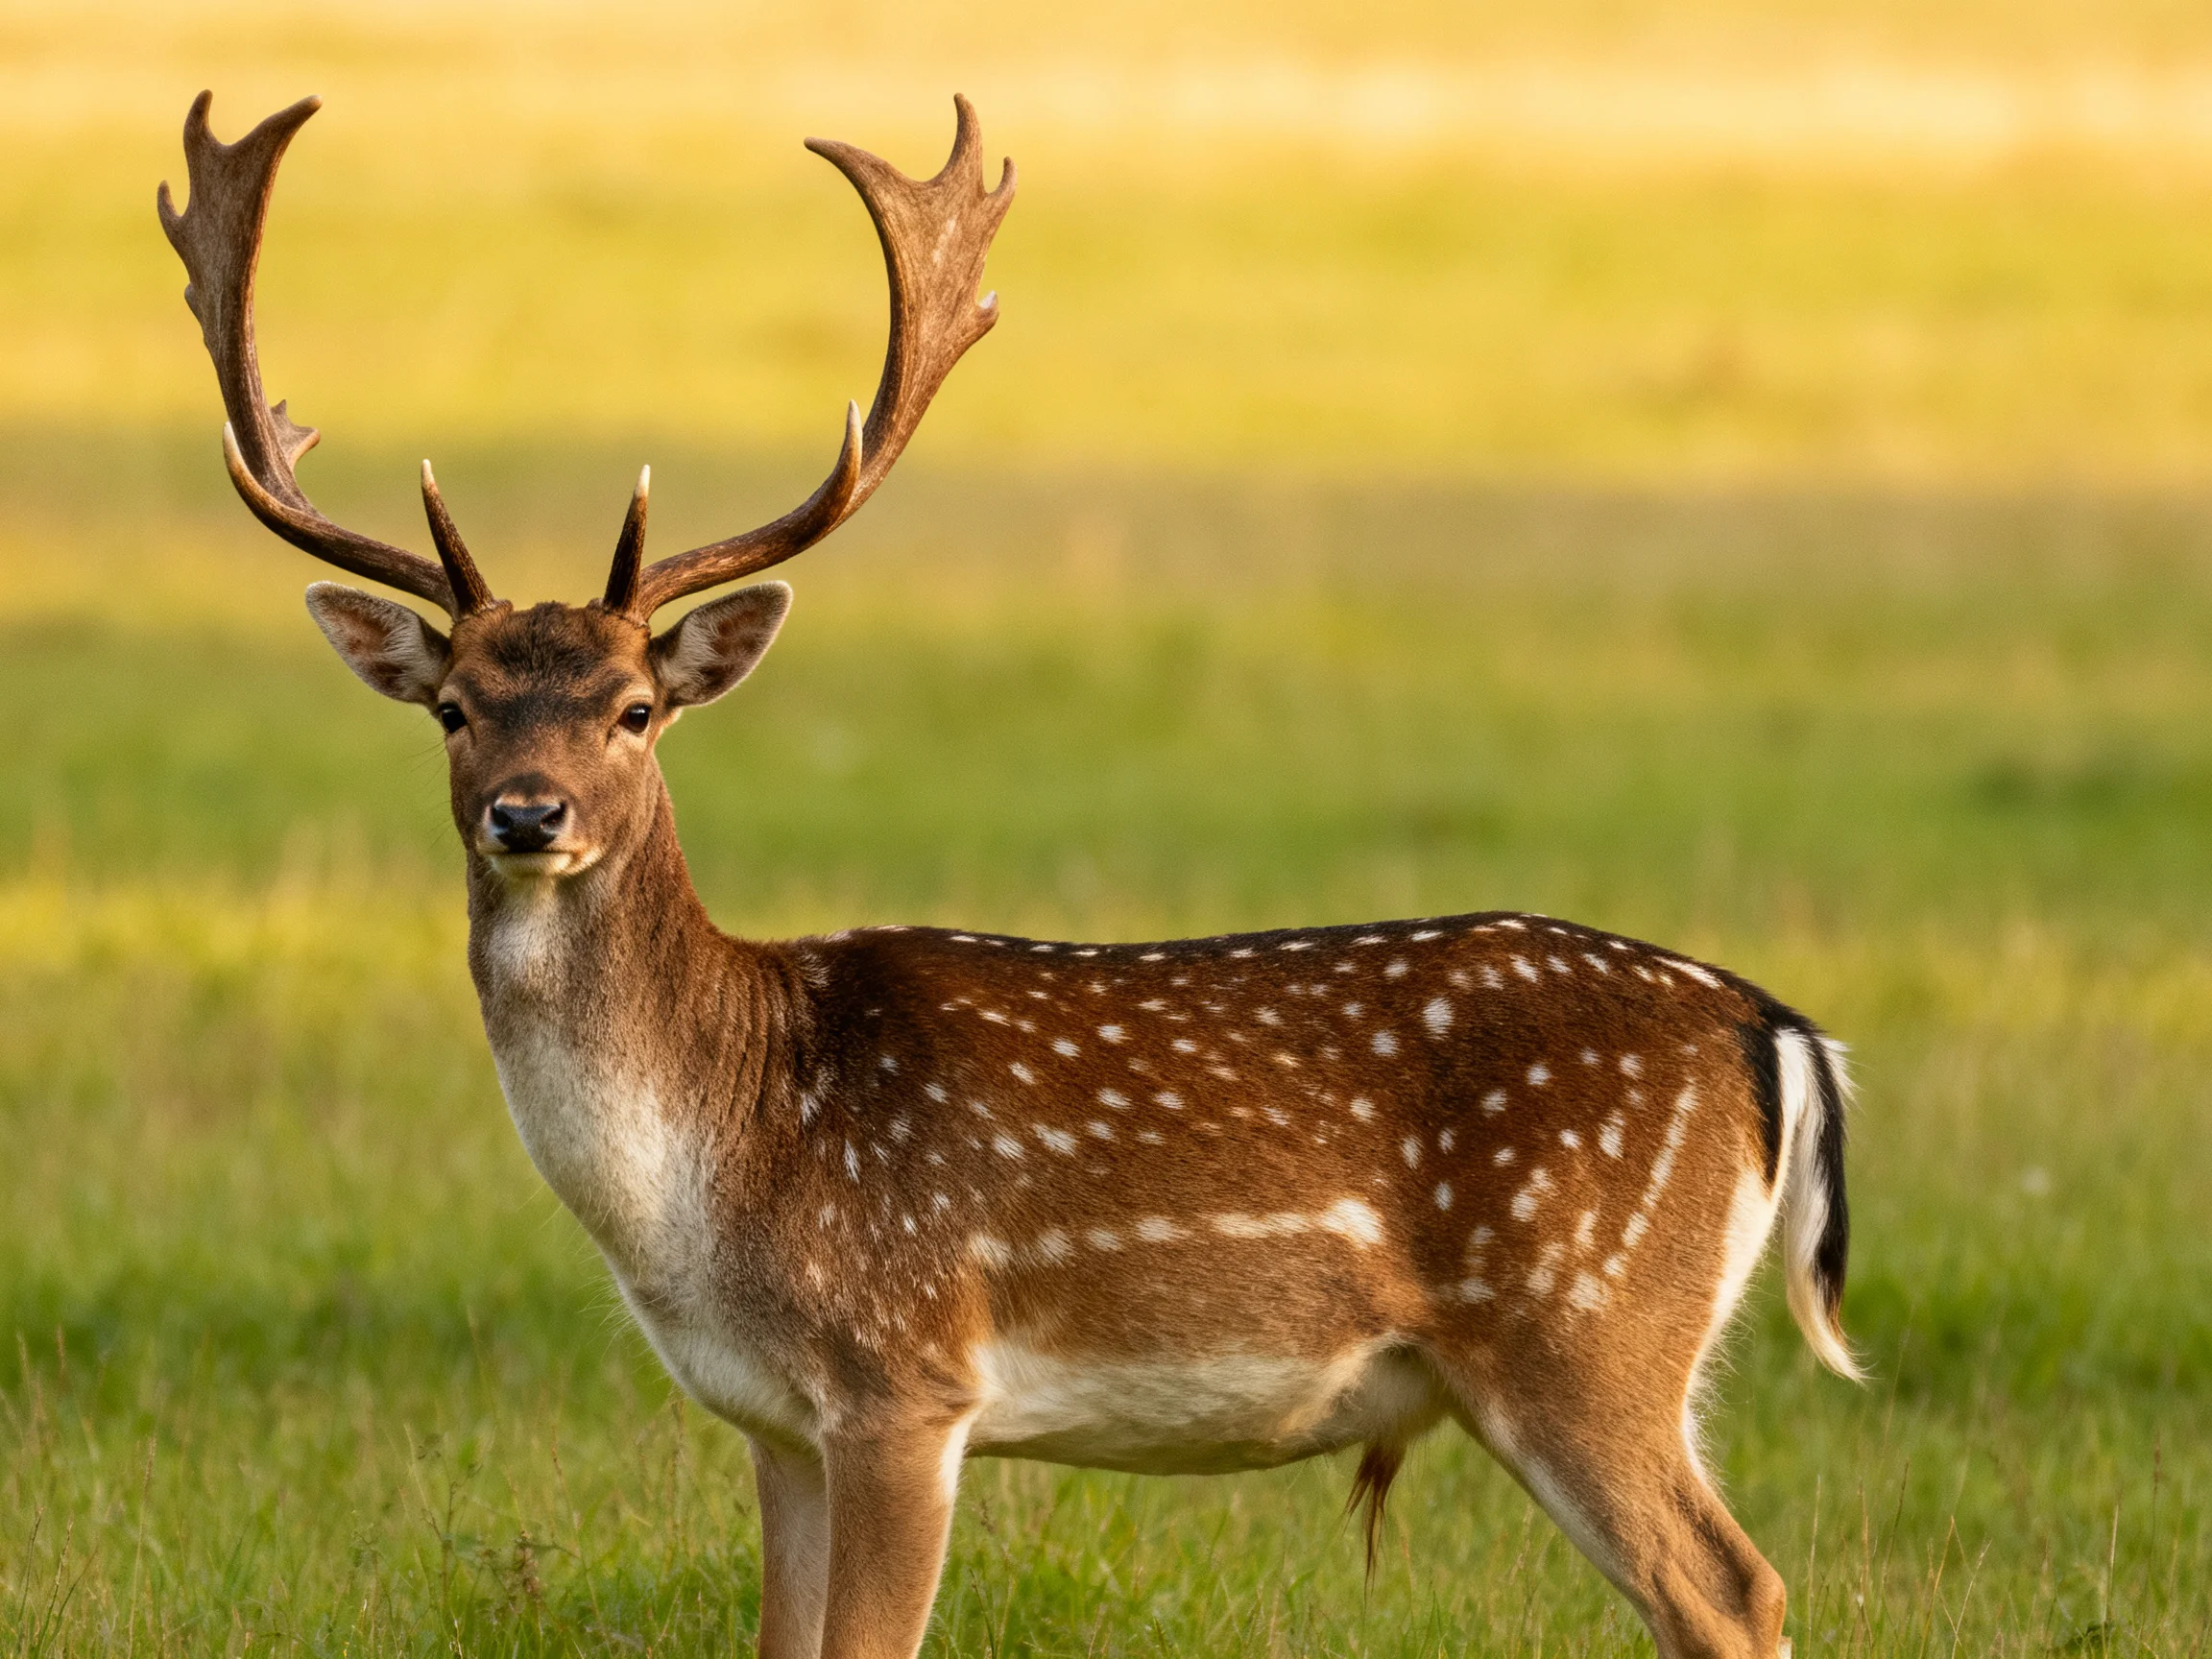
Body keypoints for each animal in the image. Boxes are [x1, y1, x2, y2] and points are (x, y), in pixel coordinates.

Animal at [160, 90, 1862, 1659]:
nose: (529, 813)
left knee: (1732, 1588)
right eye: (455, 707)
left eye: (636, 708)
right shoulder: (773, 1420)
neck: (717, 1167)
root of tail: (1778, 1032)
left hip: (1586, 1324)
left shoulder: (906, 1375)